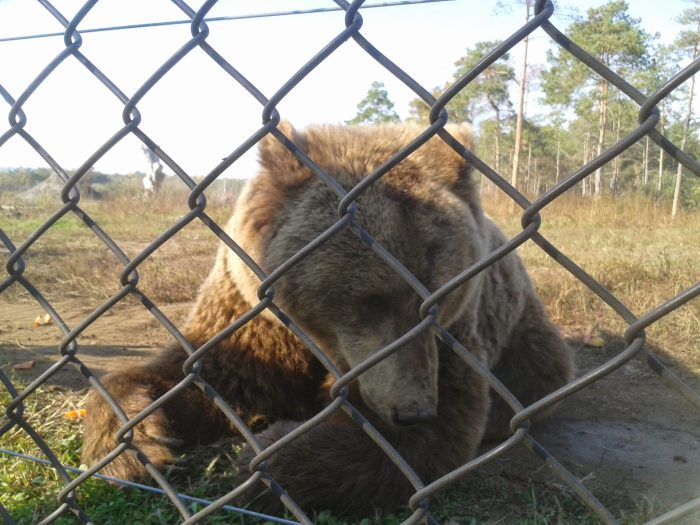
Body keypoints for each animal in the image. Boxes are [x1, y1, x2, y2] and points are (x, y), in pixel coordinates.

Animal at [81, 121, 573, 517]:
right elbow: (197, 374)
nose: (414, 409)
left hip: (524, 338)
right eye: (373, 299)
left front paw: (268, 455)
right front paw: (135, 444)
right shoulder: (253, 320)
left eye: (441, 295)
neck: (318, 340)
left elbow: (431, 439)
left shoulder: (451, 341)